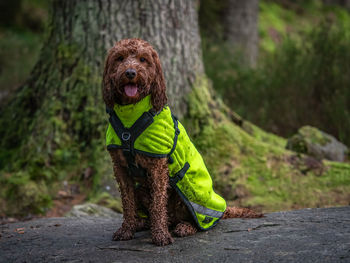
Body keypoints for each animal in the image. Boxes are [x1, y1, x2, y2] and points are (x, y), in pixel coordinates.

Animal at [102, 38, 262, 246]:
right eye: (119, 58)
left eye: (143, 59)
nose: (130, 73)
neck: (131, 114)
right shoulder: (120, 168)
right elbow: (128, 203)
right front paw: (126, 230)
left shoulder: (157, 169)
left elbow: (158, 205)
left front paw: (160, 235)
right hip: (142, 190)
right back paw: (142, 224)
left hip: (184, 197)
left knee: (192, 220)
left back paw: (183, 227)